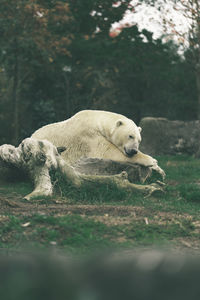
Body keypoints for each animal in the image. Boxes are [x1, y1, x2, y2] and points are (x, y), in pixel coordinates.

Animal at [32, 109, 164, 175]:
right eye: (130, 136)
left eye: (139, 140)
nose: (133, 151)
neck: (96, 120)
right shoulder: (88, 135)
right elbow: (107, 151)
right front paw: (151, 160)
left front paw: (158, 169)